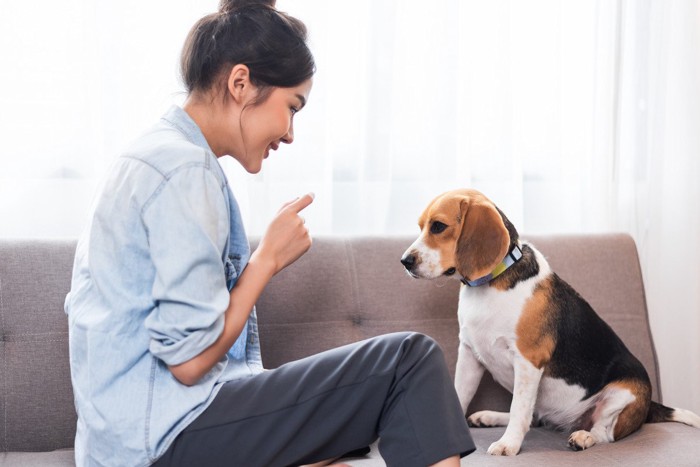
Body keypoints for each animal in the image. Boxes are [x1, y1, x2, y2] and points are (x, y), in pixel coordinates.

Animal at [400, 188, 700, 456]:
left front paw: (509, 445)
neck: (491, 284)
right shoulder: (469, 355)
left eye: (439, 227)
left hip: (621, 395)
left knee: (604, 433)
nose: (405, 261)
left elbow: (519, 409)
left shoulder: (528, 361)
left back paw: (583, 437)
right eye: (421, 227)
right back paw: (490, 417)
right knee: (536, 417)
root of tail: (649, 405)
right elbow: (460, 396)